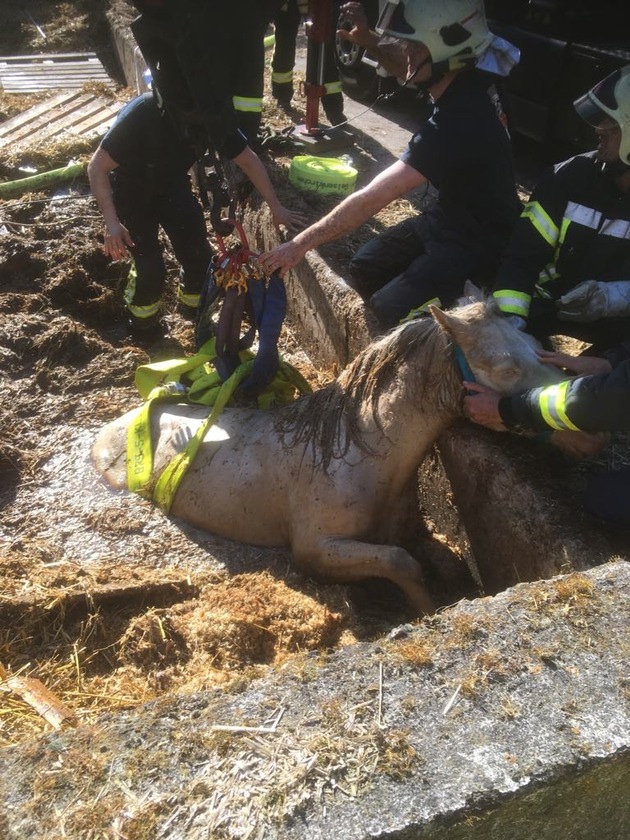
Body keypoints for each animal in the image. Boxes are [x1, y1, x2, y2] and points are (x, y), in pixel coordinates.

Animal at [92, 296, 564, 616]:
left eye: (532, 340)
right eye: (505, 368)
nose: (564, 415)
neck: (356, 456)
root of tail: (117, 427)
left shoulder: (410, 529)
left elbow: (444, 561)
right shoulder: (316, 549)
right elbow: (401, 563)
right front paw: (425, 610)